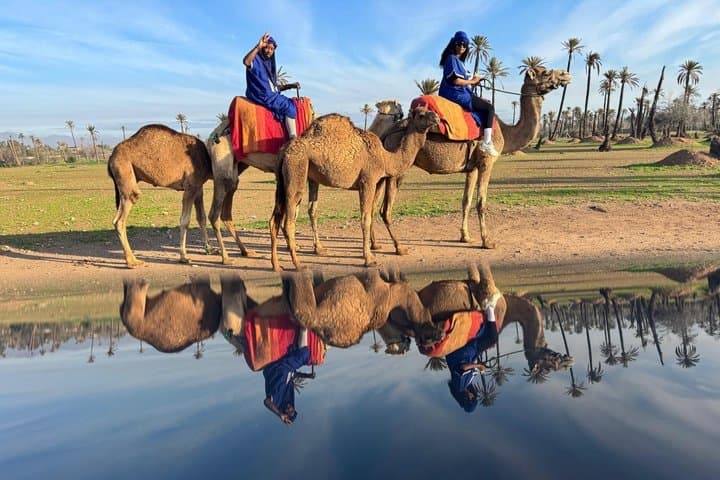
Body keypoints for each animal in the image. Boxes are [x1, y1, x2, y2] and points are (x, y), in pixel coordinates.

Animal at [108, 124, 213, 267]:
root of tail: (111, 157)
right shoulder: (190, 187)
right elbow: (185, 221)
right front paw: (184, 257)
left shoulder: (198, 186)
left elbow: (201, 217)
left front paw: (210, 249)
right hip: (124, 169)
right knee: (121, 217)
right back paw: (132, 261)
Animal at [269, 107, 440, 270]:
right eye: (421, 115)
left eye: (429, 111)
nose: (436, 118)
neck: (386, 158)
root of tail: (284, 151)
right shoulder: (368, 181)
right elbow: (366, 218)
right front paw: (369, 258)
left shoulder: (375, 182)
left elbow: (371, 214)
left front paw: (386, 249)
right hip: (296, 172)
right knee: (288, 221)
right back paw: (298, 264)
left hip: (294, 179)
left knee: (282, 217)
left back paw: (280, 264)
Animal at [379, 66, 571, 249]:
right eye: (545, 72)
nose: (566, 75)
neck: (505, 132)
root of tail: (388, 132)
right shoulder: (486, 162)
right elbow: (481, 202)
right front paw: (487, 241)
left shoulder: (471, 167)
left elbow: (466, 200)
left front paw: (465, 237)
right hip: (399, 166)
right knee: (385, 208)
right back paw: (396, 246)